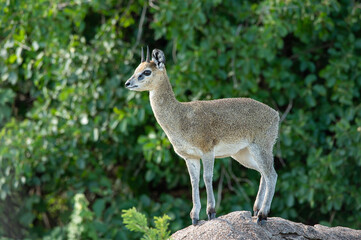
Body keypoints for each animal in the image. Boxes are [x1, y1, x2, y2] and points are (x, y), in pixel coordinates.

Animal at [125, 47, 280, 225]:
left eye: (147, 71)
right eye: (136, 69)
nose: (127, 83)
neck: (181, 117)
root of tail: (275, 114)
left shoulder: (207, 150)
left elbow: (207, 177)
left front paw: (211, 212)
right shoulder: (190, 157)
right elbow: (194, 182)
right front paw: (194, 217)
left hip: (261, 147)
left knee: (271, 174)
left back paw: (262, 215)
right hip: (242, 154)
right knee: (263, 173)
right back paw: (255, 211)